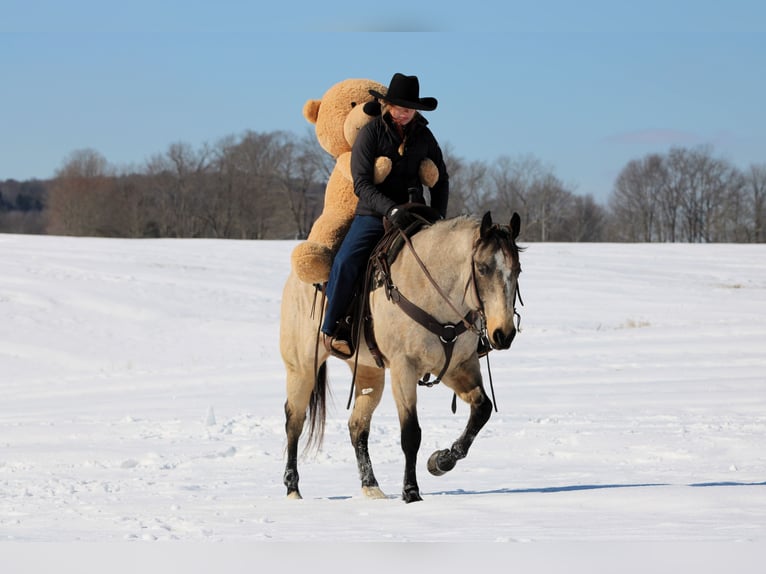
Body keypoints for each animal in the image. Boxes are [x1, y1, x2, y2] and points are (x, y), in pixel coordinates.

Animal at [279, 211, 522, 503]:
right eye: (483, 268)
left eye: (517, 270)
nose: (503, 334)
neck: (433, 291)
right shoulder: (403, 368)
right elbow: (411, 434)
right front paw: (411, 492)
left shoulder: (459, 365)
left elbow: (482, 409)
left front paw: (440, 461)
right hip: (301, 368)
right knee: (294, 421)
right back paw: (293, 488)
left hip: (368, 372)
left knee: (357, 426)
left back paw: (371, 486)